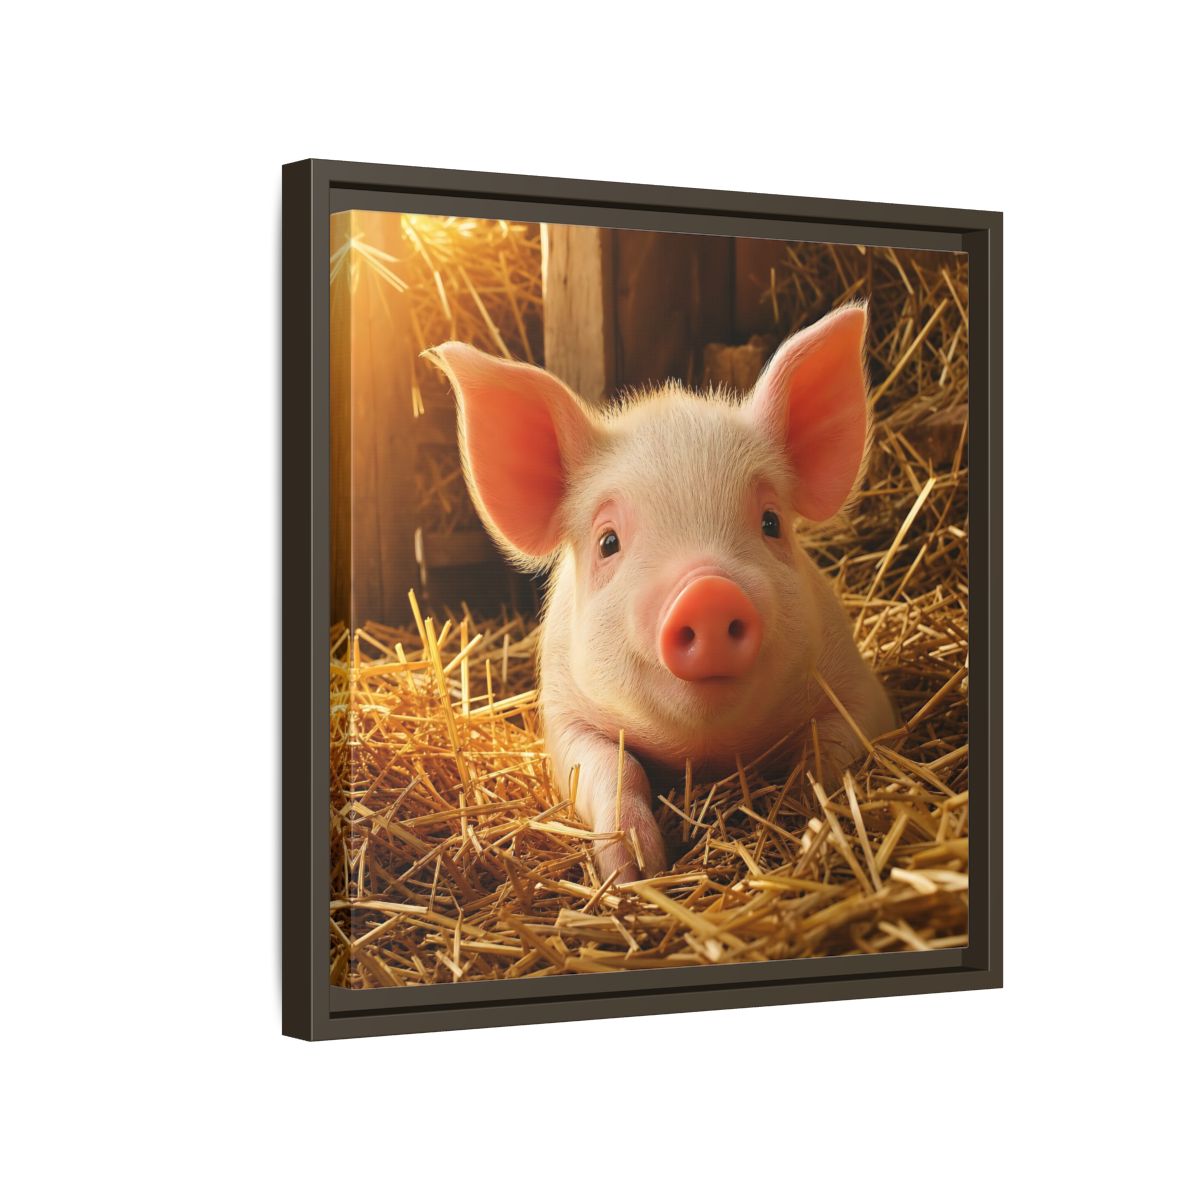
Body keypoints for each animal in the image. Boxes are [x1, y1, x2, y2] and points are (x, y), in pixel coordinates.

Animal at [430, 303, 894, 883]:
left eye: (771, 522)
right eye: (608, 541)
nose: (708, 592)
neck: (707, 751)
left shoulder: (858, 686)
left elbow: (829, 748)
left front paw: (808, 818)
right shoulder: (562, 713)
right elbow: (613, 767)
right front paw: (633, 872)